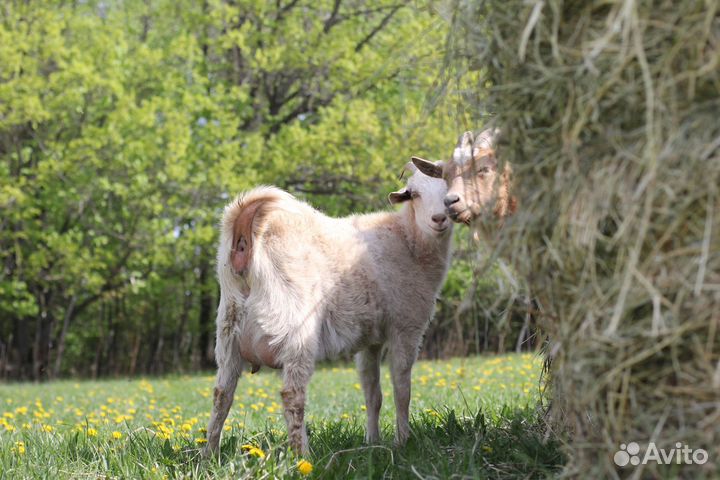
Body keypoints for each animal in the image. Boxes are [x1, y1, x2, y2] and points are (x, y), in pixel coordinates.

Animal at [203, 162, 453, 456]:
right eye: (414, 194)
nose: (439, 219)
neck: (410, 239)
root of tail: (245, 231)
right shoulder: (406, 325)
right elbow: (402, 389)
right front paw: (402, 442)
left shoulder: (371, 339)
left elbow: (373, 393)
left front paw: (373, 441)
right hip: (295, 329)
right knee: (291, 395)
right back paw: (303, 457)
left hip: (228, 331)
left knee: (222, 395)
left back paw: (209, 455)